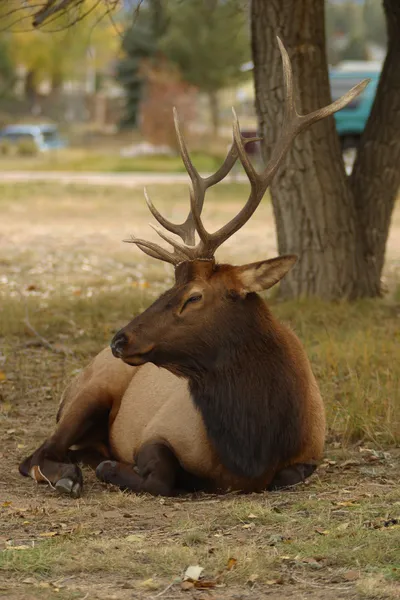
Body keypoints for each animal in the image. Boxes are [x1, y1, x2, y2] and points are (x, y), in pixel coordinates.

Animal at [19, 37, 368, 496]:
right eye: (168, 287)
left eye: (193, 296)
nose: (119, 339)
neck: (252, 444)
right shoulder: (159, 430)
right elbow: (163, 472)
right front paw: (114, 468)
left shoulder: (310, 454)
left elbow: (287, 476)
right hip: (89, 392)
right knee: (35, 455)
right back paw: (66, 475)